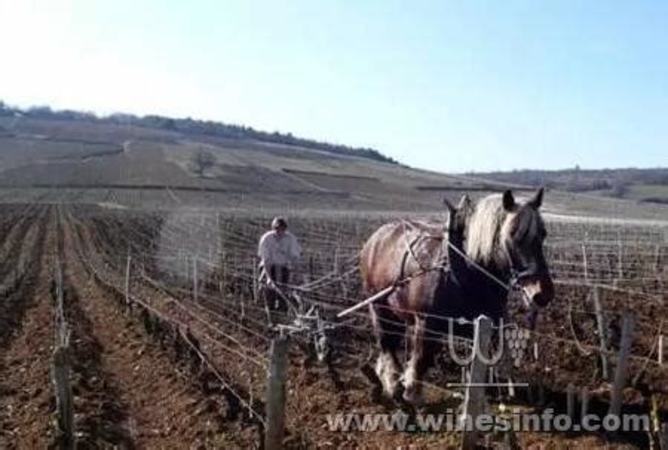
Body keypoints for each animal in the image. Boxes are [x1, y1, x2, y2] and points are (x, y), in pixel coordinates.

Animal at [360, 188, 552, 406]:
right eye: (512, 234)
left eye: (543, 234)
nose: (542, 293)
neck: (465, 269)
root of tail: (377, 237)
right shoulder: (427, 323)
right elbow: (422, 359)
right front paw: (412, 394)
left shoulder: (483, 325)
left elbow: (478, 362)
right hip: (377, 305)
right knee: (386, 343)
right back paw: (392, 384)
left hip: (396, 312)